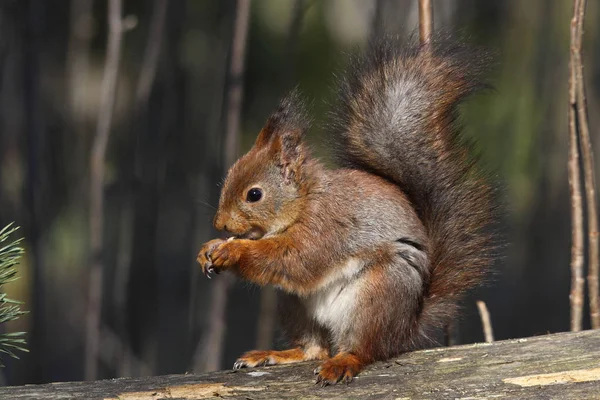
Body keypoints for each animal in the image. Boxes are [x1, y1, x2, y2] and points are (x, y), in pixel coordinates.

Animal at [197, 36, 496, 386]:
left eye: (254, 195)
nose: (219, 223)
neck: (306, 202)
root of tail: (405, 329)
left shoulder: (326, 228)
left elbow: (295, 258)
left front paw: (232, 252)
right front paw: (208, 249)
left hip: (377, 297)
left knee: (363, 349)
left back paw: (343, 363)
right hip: (295, 306)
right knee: (314, 349)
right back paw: (272, 355)